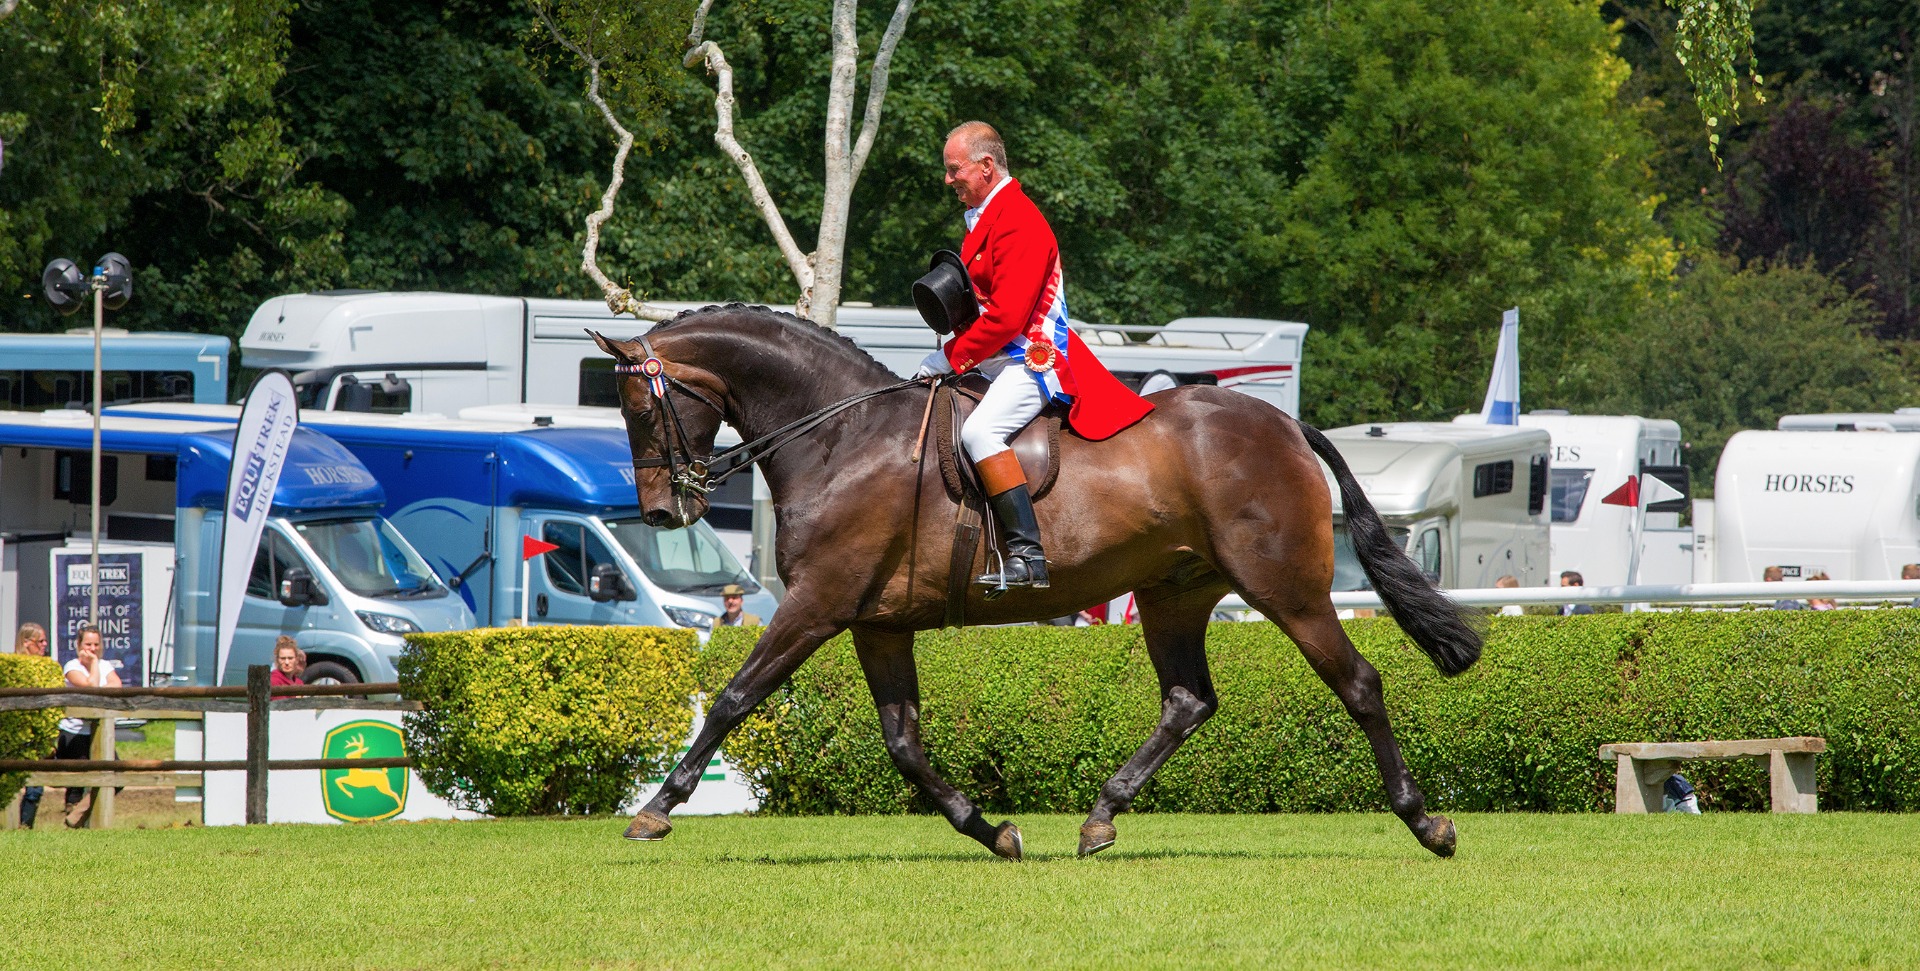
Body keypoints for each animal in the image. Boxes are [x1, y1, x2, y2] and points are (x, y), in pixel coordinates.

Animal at [590, 304, 1481, 860]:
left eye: (640, 408)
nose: (663, 509)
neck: (843, 434)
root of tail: (1286, 423)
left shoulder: (817, 606)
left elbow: (735, 697)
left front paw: (655, 809)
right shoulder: (877, 622)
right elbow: (904, 743)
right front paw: (991, 830)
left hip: (1285, 589)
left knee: (1358, 683)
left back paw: (1426, 822)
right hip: (1174, 592)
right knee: (1188, 700)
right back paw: (1100, 817)